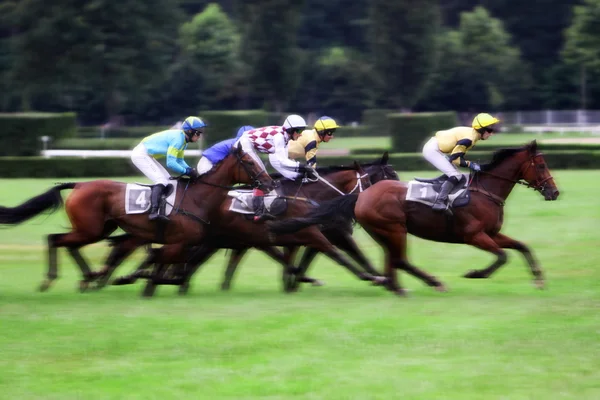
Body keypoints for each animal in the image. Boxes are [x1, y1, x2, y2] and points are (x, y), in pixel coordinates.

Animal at [0, 144, 274, 290]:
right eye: (250, 162)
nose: (269, 182)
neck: (197, 197)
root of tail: (79, 184)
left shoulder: (185, 243)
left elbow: (166, 261)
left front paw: (132, 276)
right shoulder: (178, 241)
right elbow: (160, 259)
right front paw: (132, 277)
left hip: (99, 229)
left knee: (66, 243)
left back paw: (89, 277)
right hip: (90, 229)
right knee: (54, 239)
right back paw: (53, 279)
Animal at [270, 140, 560, 294]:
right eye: (541, 165)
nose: (554, 192)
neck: (484, 192)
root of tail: (362, 196)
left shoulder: (492, 234)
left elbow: (522, 247)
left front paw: (539, 278)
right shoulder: (474, 236)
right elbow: (501, 257)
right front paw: (476, 273)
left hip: (384, 232)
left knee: (392, 260)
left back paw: (394, 285)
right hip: (395, 229)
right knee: (399, 259)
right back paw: (426, 283)